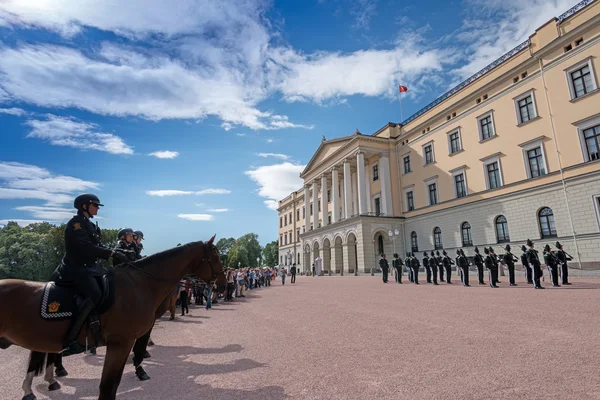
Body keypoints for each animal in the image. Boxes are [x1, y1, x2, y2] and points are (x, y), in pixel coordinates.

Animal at [0, 238, 226, 400]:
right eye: (215, 258)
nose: (223, 285)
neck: (140, 284)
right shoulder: (120, 343)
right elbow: (109, 386)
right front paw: (140, 367)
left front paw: (141, 368)